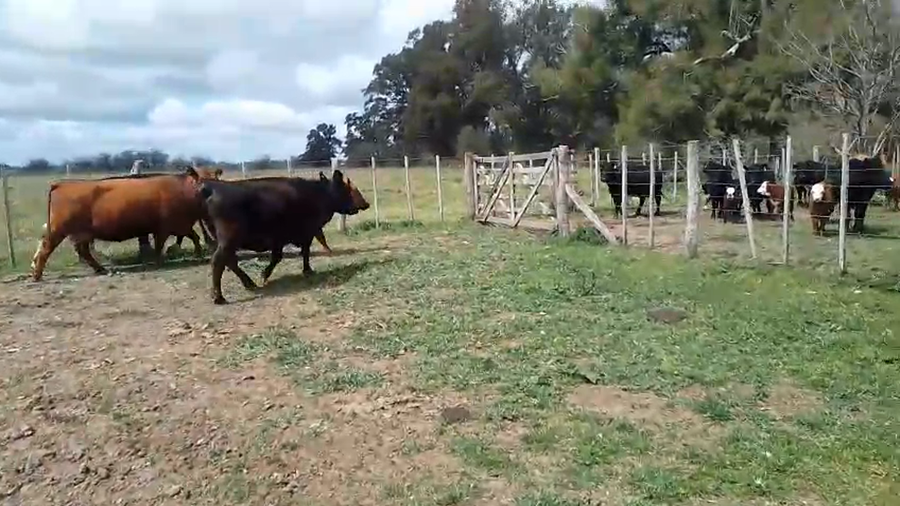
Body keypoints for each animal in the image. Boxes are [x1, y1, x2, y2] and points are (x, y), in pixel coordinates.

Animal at [31, 168, 209, 281]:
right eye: (204, 180)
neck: (183, 190)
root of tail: (62, 184)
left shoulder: (181, 225)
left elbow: (194, 236)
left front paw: (198, 254)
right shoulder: (166, 227)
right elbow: (161, 245)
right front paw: (159, 261)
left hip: (81, 233)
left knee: (82, 251)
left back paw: (100, 269)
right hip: (59, 230)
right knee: (46, 249)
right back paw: (37, 275)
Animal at [198, 170, 369, 304]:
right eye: (349, 190)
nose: (366, 204)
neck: (317, 193)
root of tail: (213, 187)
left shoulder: (280, 239)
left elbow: (278, 256)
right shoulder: (306, 233)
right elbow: (303, 252)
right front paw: (307, 270)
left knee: (230, 261)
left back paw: (249, 284)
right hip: (228, 239)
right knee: (218, 261)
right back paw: (219, 297)